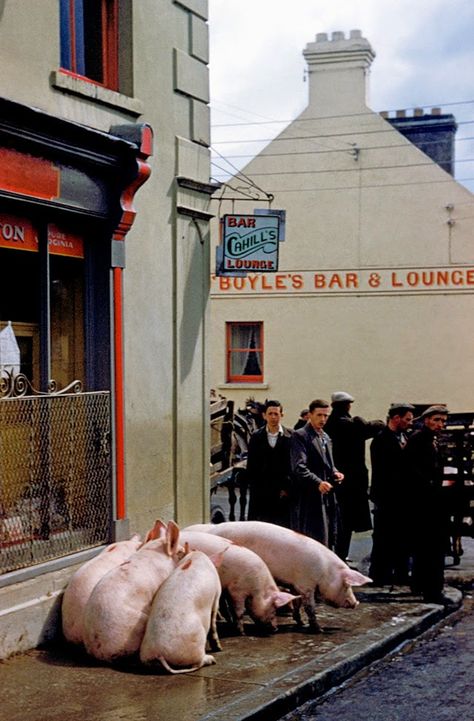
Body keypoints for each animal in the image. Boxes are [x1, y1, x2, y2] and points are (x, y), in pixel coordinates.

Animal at [183, 520, 372, 632]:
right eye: (347, 584)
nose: (356, 602)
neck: (325, 570)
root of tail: (211, 529)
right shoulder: (306, 584)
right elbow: (309, 606)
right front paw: (318, 629)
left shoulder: (295, 585)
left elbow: (296, 603)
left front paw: (300, 622)